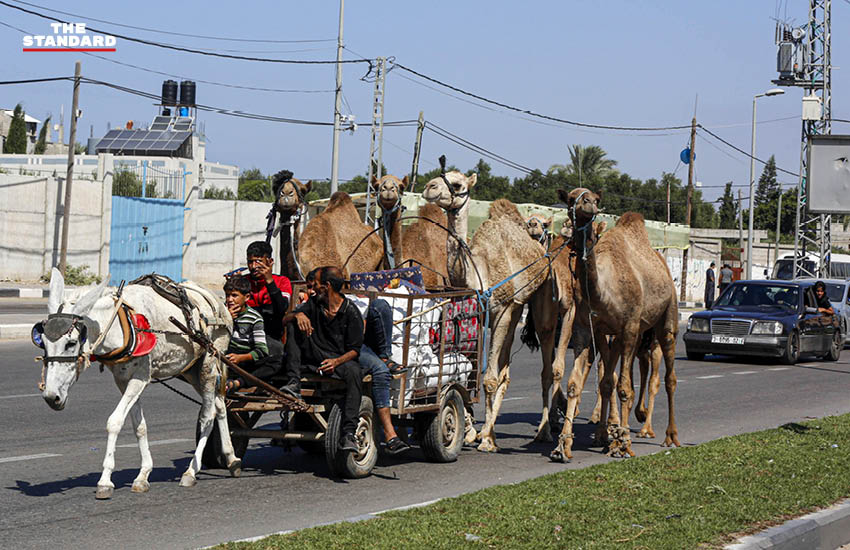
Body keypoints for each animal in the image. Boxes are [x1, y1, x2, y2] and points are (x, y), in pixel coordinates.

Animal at [420, 171, 548, 452]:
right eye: (440, 176)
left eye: (457, 184)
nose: (429, 187)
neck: (478, 272)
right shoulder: (476, 317)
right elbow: (467, 371)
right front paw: (468, 431)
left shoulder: (502, 310)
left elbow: (489, 378)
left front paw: (486, 438)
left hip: (516, 308)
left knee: (503, 374)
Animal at [548, 188, 680, 464]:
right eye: (571, 198)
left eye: (595, 198)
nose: (588, 204)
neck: (602, 291)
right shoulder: (587, 330)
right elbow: (579, 384)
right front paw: (563, 446)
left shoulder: (628, 327)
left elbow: (624, 388)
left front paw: (623, 444)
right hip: (621, 335)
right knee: (610, 379)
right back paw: (606, 434)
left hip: (665, 319)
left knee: (669, 376)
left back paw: (669, 436)